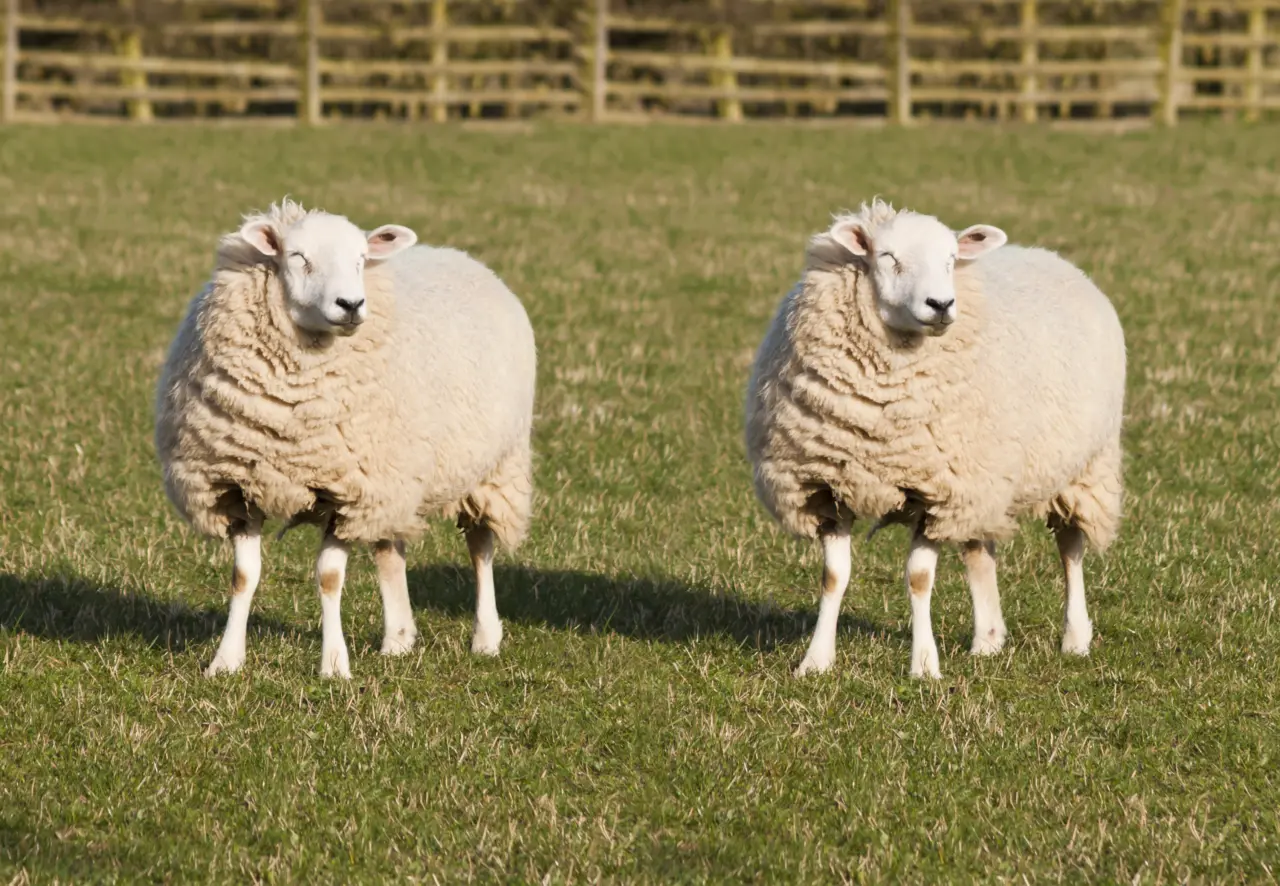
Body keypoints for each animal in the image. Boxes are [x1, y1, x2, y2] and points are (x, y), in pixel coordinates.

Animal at [155, 199, 536, 678]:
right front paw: (225, 661)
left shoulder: (346, 492)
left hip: (493, 467)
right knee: (389, 549)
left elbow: (329, 578)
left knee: (480, 547)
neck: (291, 417)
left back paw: (485, 637)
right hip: (393, 476)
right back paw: (398, 639)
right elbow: (244, 577)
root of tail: (462, 256)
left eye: (360, 258)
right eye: (298, 257)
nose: (351, 304)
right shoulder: (239, 487)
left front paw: (334, 666)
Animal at [744, 199, 1125, 679]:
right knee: (979, 550)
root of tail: (1052, 256)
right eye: (888, 257)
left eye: (950, 258)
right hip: (982, 477)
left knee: (1070, 548)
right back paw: (988, 640)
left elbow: (919, 579)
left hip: (1083, 467)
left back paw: (1075, 638)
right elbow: (833, 577)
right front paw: (815, 661)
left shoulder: (936, 492)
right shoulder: (827, 487)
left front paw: (924, 666)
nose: (941, 304)